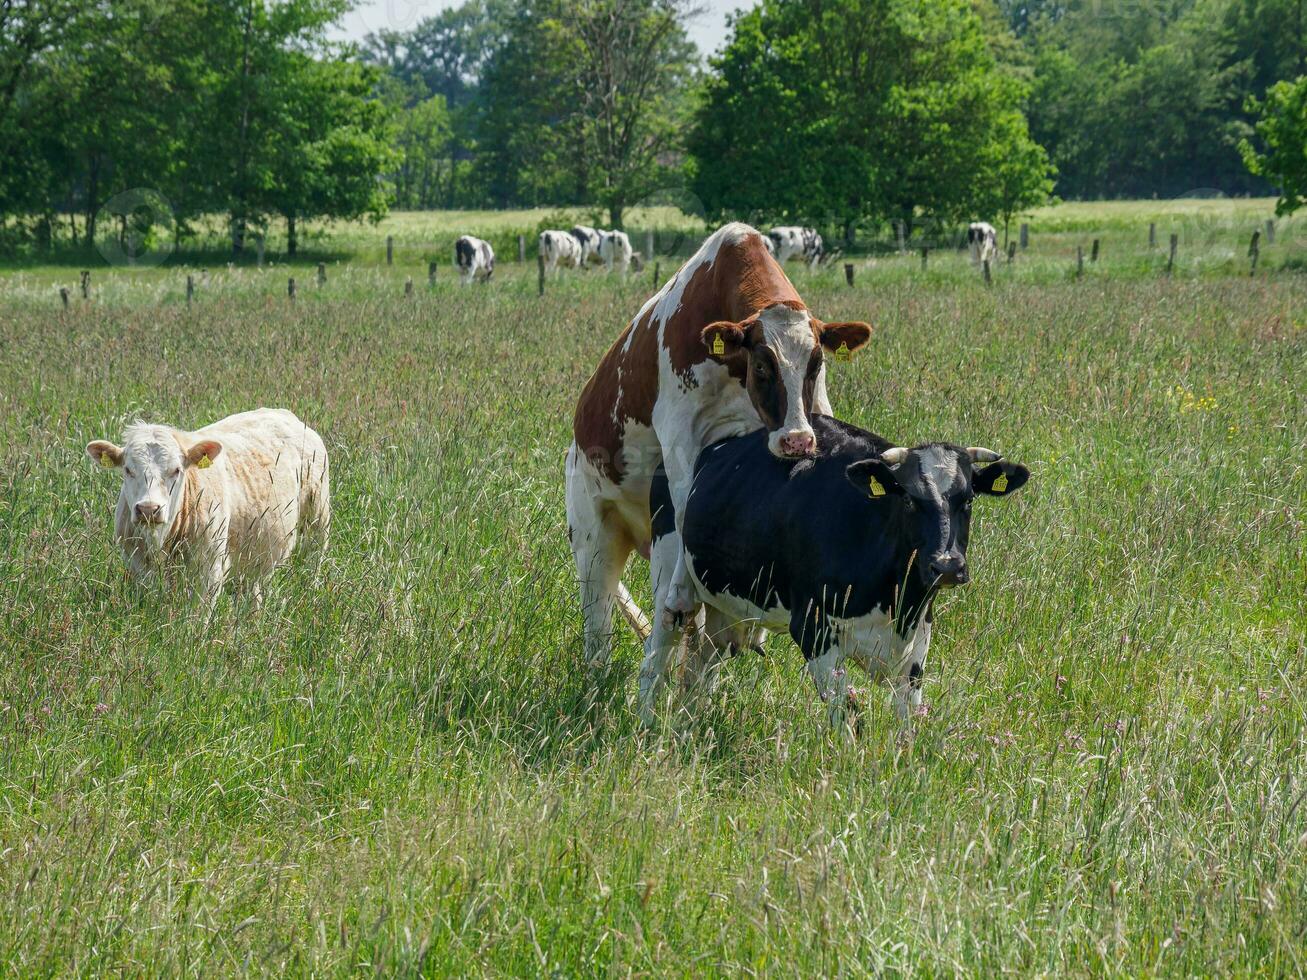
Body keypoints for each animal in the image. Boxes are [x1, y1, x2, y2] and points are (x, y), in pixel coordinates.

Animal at [85, 407, 331, 606]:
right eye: (128, 469)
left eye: (176, 470)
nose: (148, 509)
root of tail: (284, 414)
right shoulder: (137, 563)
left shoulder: (209, 567)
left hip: (318, 519)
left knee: (314, 559)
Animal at [567, 219, 873, 674]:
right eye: (762, 365)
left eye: (816, 364)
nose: (796, 440)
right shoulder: (680, 434)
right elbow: (686, 506)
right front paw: (680, 593)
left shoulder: (812, 415)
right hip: (593, 540)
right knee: (599, 630)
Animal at [645, 415, 1029, 731]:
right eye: (909, 499)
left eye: (968, 500)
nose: (947, 565)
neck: (897, 603)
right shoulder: (813, 628)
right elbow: (847, 716)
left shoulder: (919, 639)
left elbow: (908, 721)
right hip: (669, 576)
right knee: (658, 649)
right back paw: (646, 721)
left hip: (722, 606)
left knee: (703, 665)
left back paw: (688, 724)